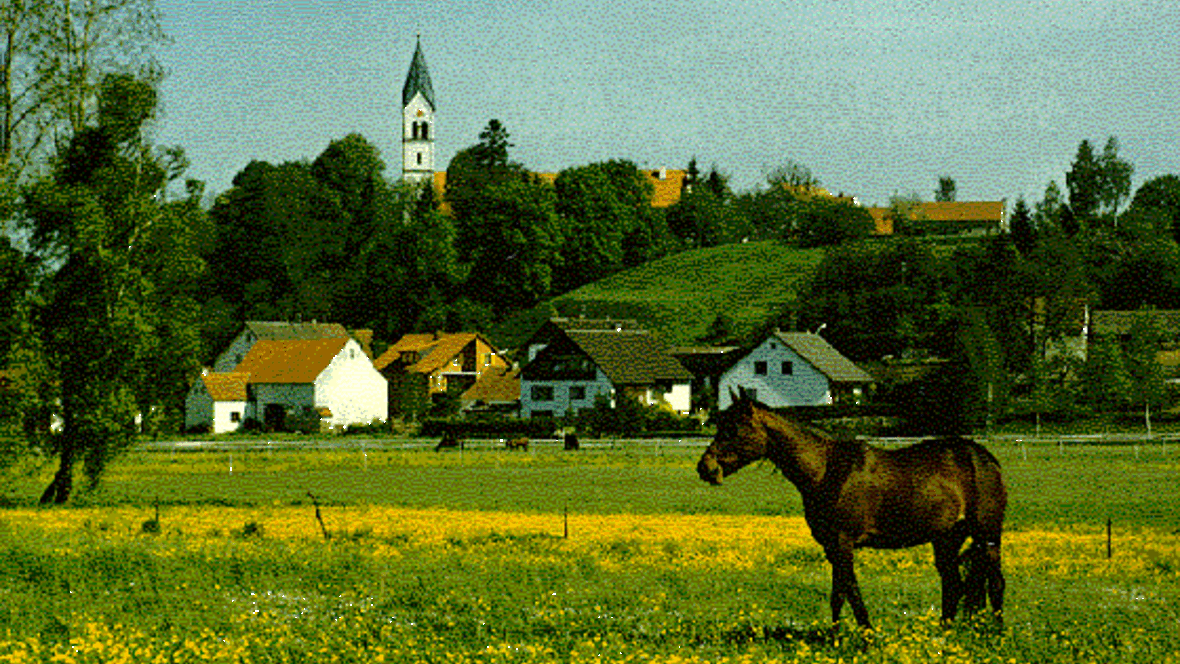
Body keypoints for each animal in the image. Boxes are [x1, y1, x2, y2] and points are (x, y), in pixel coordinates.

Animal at [693, 391, 1010, 632]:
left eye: (733, 430)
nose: (705, 468)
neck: (825, 470)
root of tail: (984, 458)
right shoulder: (831, 547)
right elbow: (838, 594)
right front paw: (835, 638)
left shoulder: (843, 543)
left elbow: (850, 591)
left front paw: (867, 636)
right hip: (947, 538)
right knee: (953, 585)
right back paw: (944, 634)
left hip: (988, 536)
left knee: (995, 583)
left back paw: (996, 634)